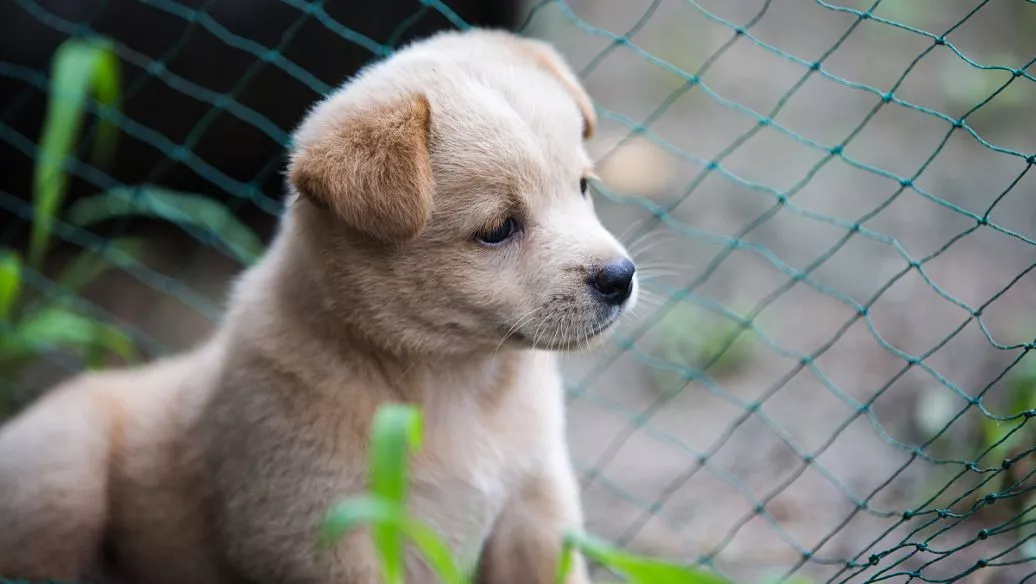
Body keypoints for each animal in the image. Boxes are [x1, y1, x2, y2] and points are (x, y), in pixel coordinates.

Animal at [0, 28, 638, 584]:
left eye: (582, 187)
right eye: (499, 229)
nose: (620, 278)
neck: (458, 389)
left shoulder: (534, 508)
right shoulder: (321, 531)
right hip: (63, 476)